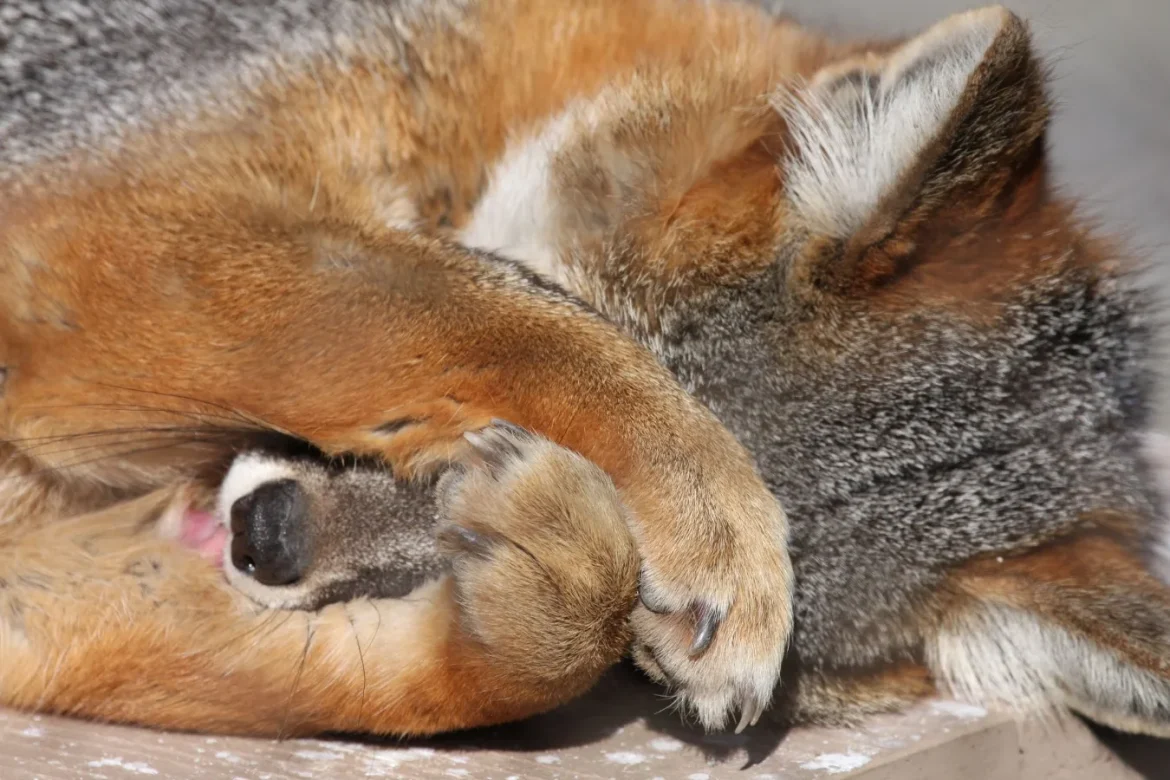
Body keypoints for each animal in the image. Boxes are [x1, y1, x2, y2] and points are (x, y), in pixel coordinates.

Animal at [1, 0, 1167, 742]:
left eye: (637, 662)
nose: (265, 539)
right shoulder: (100, 225)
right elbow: (482, 315)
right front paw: (714, 506)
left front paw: (532, 602)